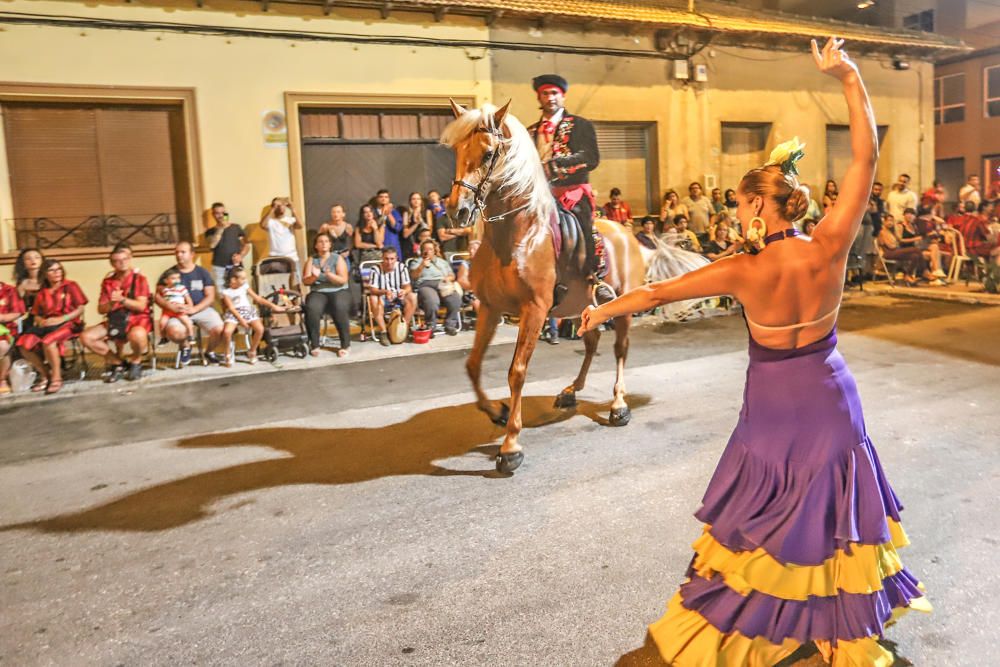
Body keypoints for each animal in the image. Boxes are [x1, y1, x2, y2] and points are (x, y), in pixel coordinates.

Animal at [444, 100, 648, 474]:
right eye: (456, 150)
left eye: (488, 153)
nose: (457, 210)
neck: (516, 235)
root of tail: (627, 231)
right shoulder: (490, 308)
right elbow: (473, 365)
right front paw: (497, 411)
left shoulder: (535, 310)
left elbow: (517, 372)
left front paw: (510, 445)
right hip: (583, 308)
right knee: (592, 343)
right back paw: (571, 391)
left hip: (623, 305)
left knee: (620, 349)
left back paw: (618, 404)